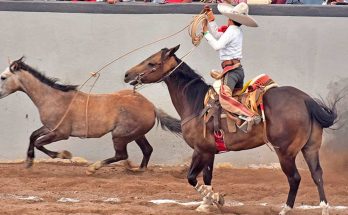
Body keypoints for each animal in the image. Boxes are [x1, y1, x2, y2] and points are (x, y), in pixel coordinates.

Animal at [0, 57, 181, 175]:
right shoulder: (49, 128)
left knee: (122, 155)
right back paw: (140, 170)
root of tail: (151, 107)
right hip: (136, 135)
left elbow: (38, 143)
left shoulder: (60, 133)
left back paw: (93, 168)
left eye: (3, 77)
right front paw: (29, 161)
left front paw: (64, 155)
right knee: (147, 149)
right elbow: (32, 136)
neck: (53, 98)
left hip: (120, 135)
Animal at [123, 44, 338, 214]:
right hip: (310, 148)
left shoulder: (200, 150)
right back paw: (324, 209)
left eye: (151, 63)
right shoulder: (209, 151)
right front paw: (206, 204)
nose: (127, 75)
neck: (196, 104)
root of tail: (305, 99)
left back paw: (285, 210)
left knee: (295, 178)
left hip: (285, 152)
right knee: (317, 175)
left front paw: (217, 200)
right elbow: (207, 177)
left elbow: (191, 177)